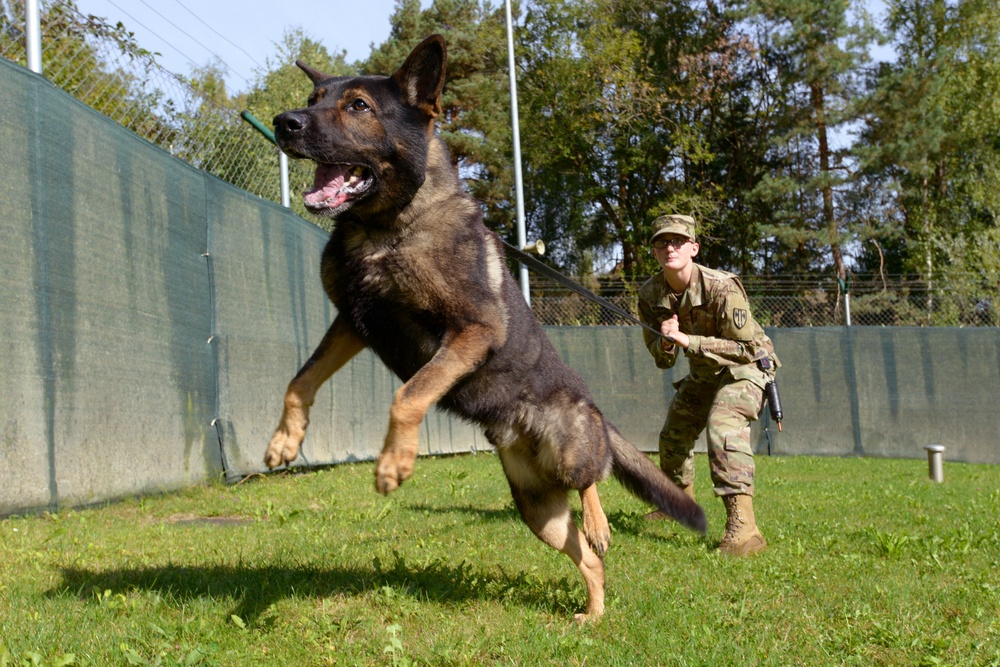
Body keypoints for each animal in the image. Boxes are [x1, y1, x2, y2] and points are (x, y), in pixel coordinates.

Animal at [264, 35, 704, 620]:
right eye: (314, 98)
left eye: (358, 106)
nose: (283, 122)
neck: (388, 229)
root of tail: (594, 411)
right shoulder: (354, 323)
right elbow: (300, 381)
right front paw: (285, 442)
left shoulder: (472, 330)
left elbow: (409, 395)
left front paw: (394, 462)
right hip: (537, 509)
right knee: (587, 556)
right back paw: (592, 612)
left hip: (572, 455)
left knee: (592, 483)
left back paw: (600, 522)